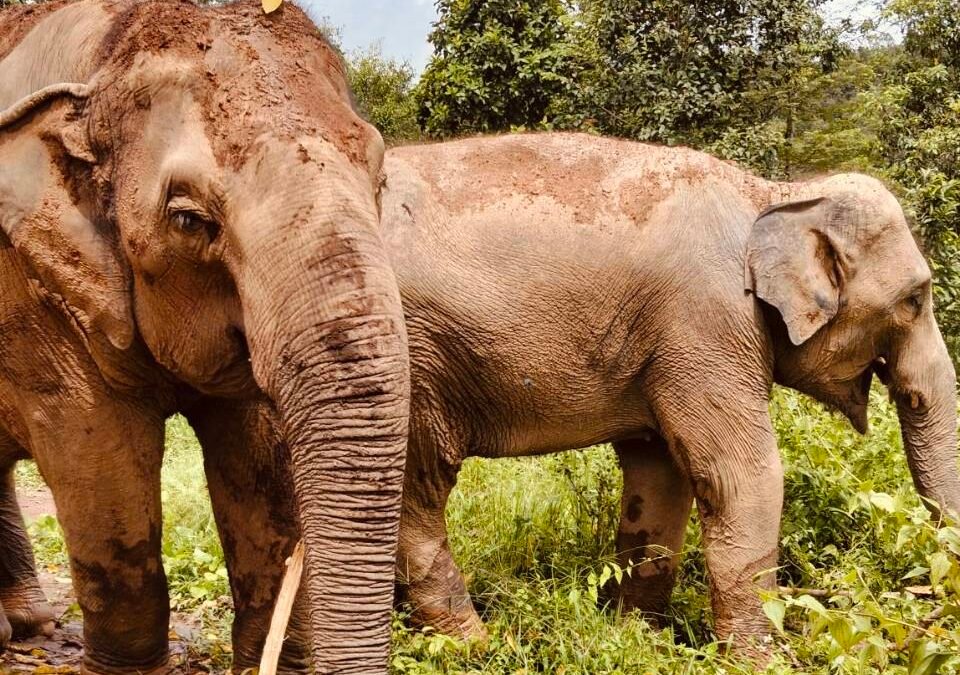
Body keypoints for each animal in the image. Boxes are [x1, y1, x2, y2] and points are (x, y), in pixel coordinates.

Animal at [0, 2, 409, 674]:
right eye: (189, 220)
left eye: (378, 182)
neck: (104, 55)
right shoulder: (35, 293)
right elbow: (101, 456)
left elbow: (258, 458)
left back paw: (26, 625)